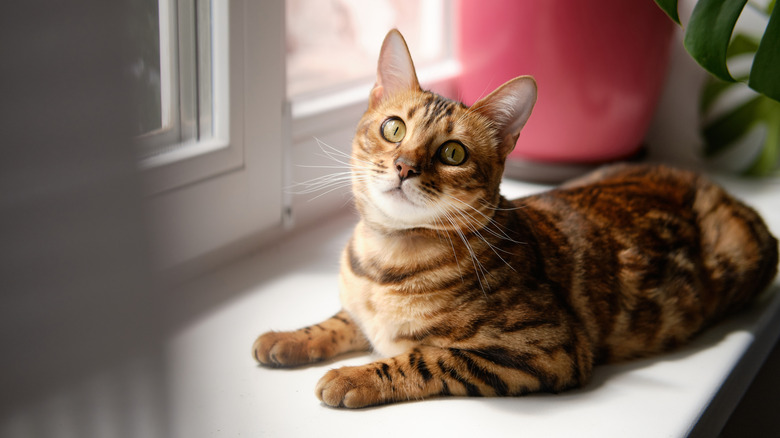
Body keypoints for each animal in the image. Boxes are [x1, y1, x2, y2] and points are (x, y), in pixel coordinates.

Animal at [253, 30, 776, 408]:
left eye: (453, 153)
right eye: (394, 128)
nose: (404, 166)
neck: (386, 258)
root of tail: (715, 186)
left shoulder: (545, 348)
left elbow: (425, 358)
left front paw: (352, 376)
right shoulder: (358, 307)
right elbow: (340, 320)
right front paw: (286, 338)